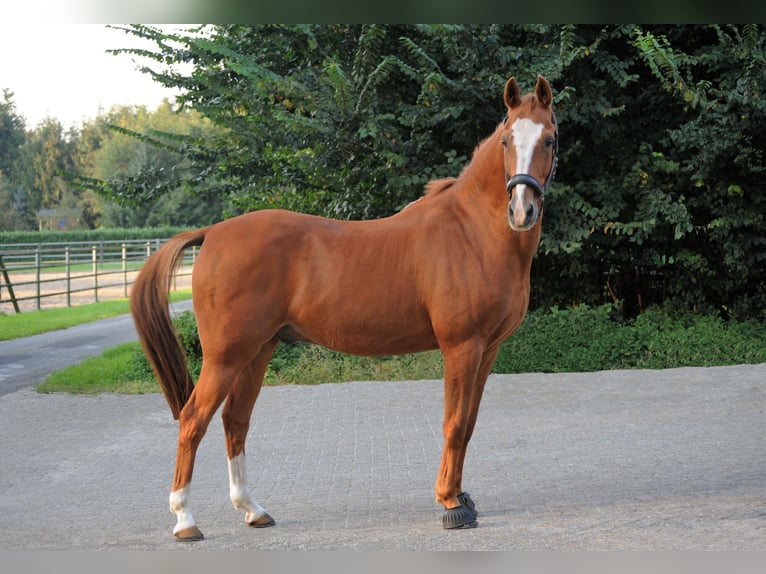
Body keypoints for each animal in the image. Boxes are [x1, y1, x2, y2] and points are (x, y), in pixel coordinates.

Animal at [134, 74, 560, 544]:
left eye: (550, 139)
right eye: (506, 140)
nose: (521, 211)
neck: (471, 233)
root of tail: (211, 233)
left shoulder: (487, 350)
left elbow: (467, 425)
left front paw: (463, 496)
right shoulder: (461, 348)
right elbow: (453, 423)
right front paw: (451, 503)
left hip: (258, 351)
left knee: (235, 421)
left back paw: (252, 509)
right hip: (226, 356)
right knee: (194, 420)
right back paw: (184, 520)